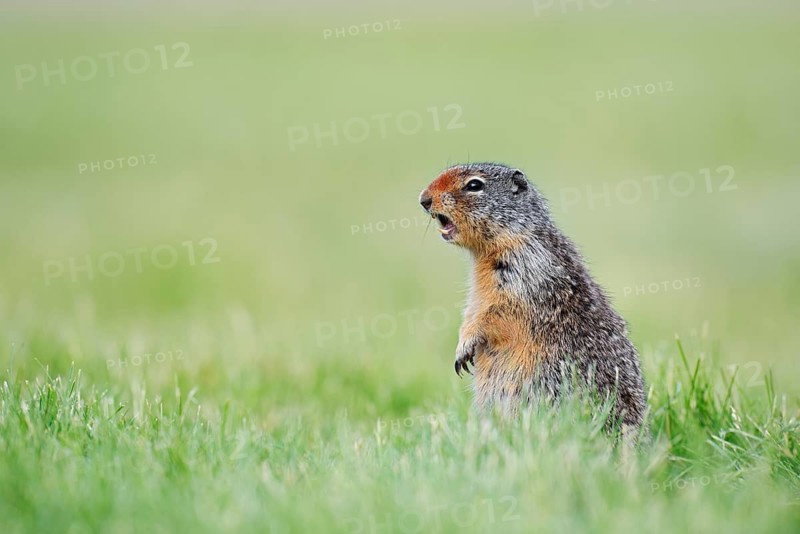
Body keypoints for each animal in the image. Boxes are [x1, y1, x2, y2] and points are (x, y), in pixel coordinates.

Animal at [419, 162, 646, 428]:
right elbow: (472, 310)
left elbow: (496, 312)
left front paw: (464, 347)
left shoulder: (525, 271)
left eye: (474, 185)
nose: (423, 199)